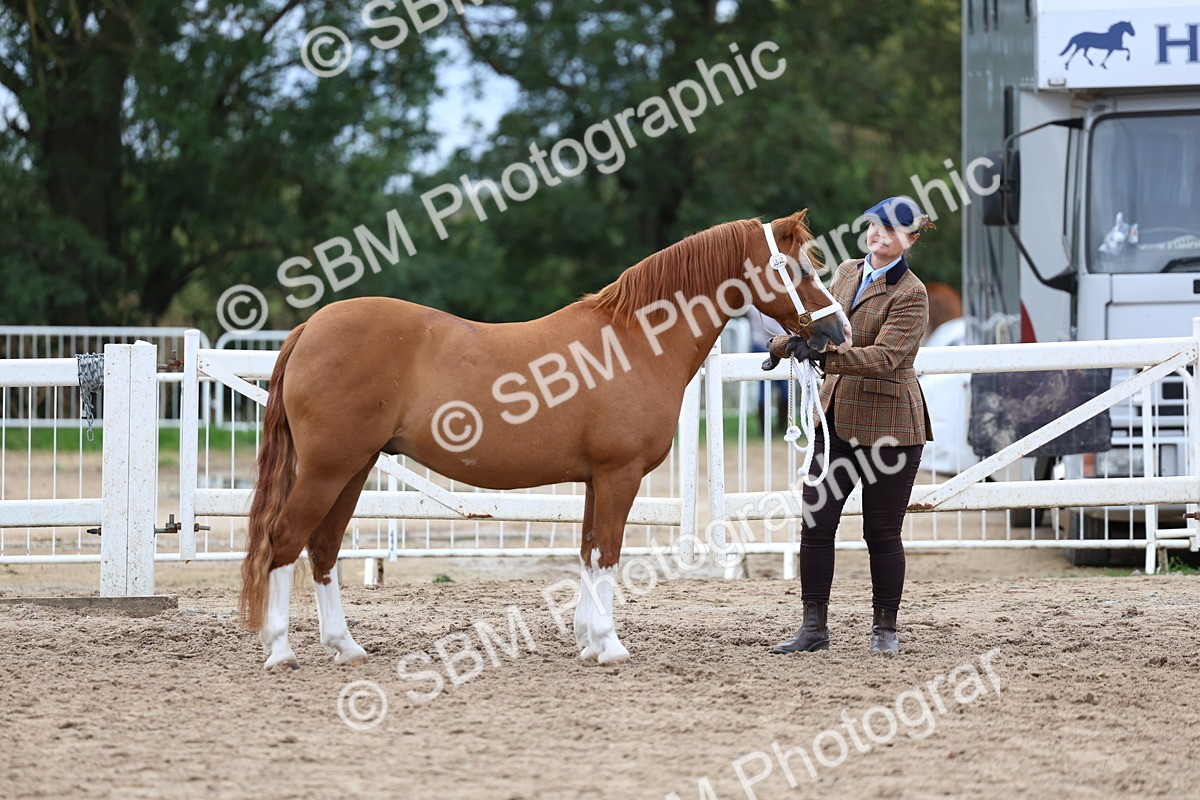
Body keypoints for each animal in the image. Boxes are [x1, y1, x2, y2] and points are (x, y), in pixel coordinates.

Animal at [238, 211, 852, 670]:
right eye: (796, 267)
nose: (838, 331)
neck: (633, 342)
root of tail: (309, 327)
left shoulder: (595, 479)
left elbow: (587, 552)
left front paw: (587, 640)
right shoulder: (618, 474)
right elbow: (608, 553)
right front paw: (610, 646)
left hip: (356, 466)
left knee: (322, 547)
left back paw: (345, 646)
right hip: (329, 466)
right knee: (285, 538)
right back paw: (281, 651)